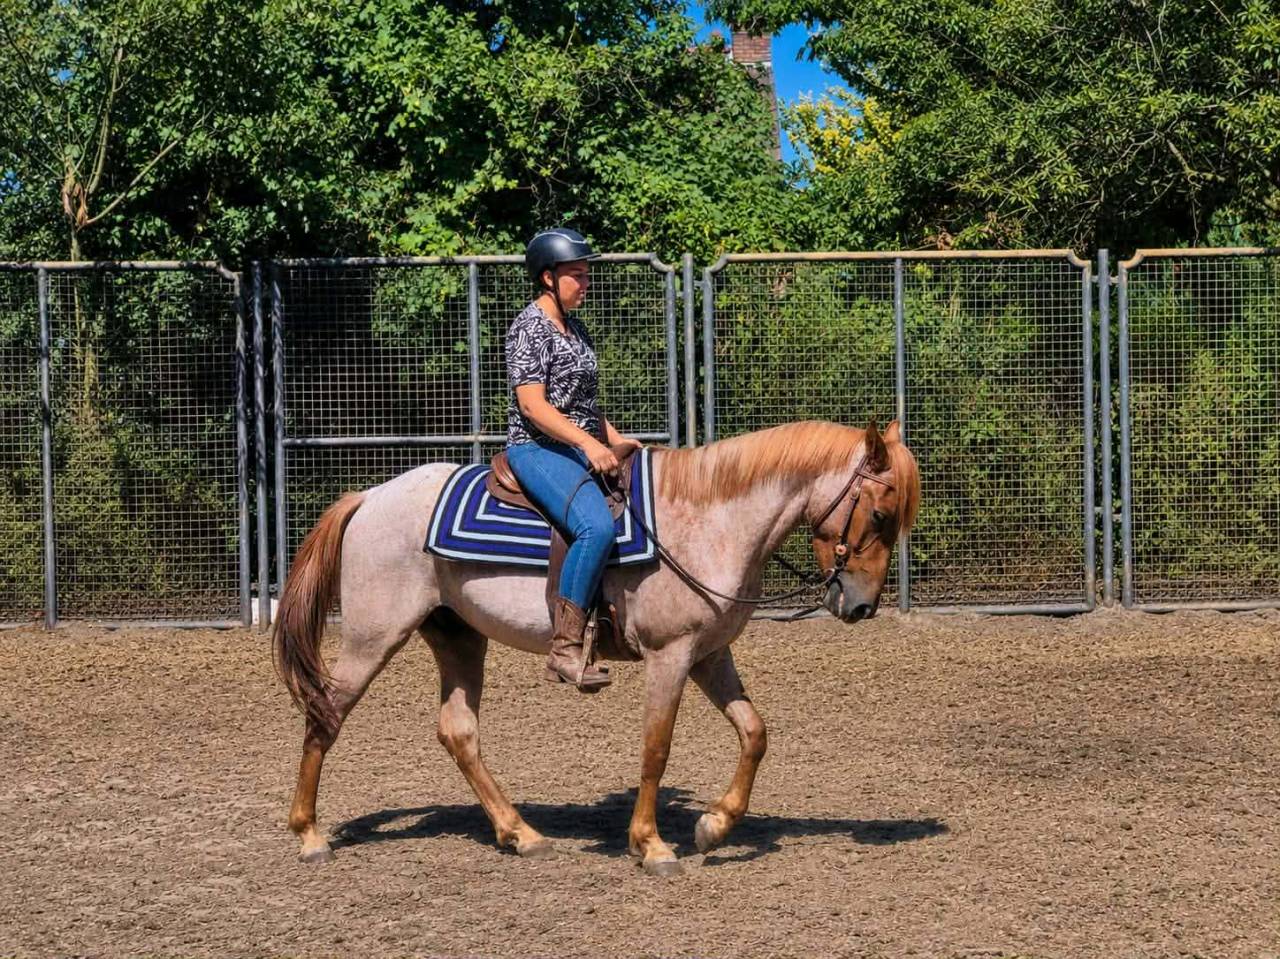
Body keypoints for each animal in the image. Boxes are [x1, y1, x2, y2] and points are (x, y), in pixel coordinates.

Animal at [273, 418, 920, 876]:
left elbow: (754, 733)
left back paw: (522, 834)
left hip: (458, 637)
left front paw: (714, 825)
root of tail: (370, 497)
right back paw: (309, 835)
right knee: (326, 714)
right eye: (879, 514)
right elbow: (656, 749)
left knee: (458, 731)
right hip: (372, 636)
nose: (861, 606)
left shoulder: (709, 654)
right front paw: (652, 845)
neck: (709, 520)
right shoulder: (670, 655)